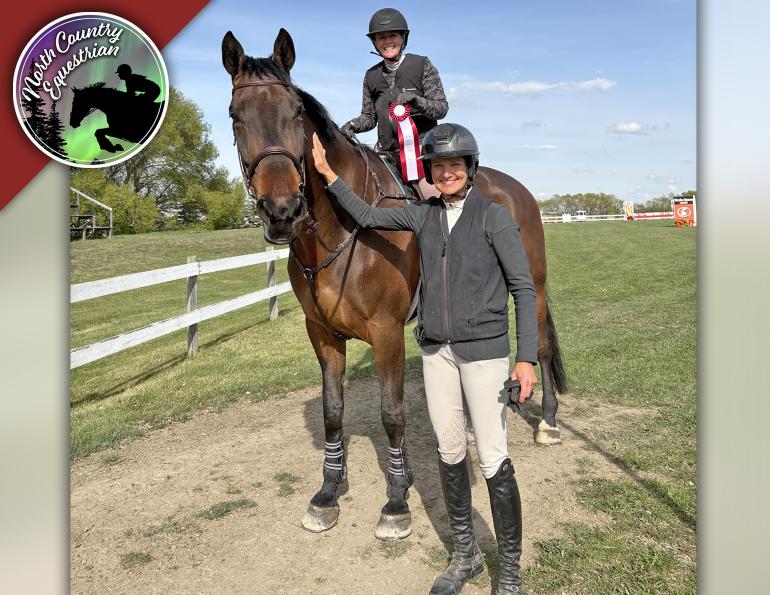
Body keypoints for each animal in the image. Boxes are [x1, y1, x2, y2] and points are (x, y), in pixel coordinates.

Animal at [221, 29, 568, 540]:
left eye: (296, 112)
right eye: (235, 116)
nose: (282, 210)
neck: (343, 227)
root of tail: (516, 188)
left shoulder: (386, 333)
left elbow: (391, 414)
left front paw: (397, 501)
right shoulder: (321, 334)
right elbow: (332, 411)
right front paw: (328, 492)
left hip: (535, 288)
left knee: (539, 346)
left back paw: (547, 422)